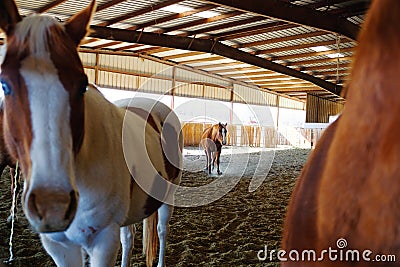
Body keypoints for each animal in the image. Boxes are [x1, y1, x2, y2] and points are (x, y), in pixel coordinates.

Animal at [0, 2, 184, 267]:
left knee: (161, 230)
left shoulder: (103, 241)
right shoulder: (59, 247)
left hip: (168, 195)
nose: (53, 205)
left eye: (82, 85)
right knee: (129, 238)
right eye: (5, 84)